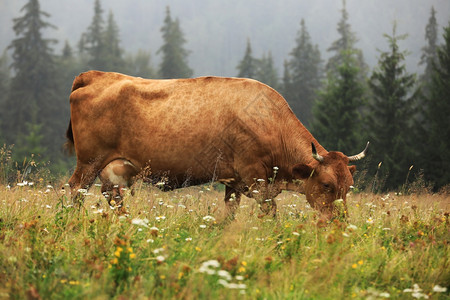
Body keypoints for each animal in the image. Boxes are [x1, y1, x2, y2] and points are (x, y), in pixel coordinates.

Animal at [67, 71, 370, 219]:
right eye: (327, 185)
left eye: (348, 186)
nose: (340, 220)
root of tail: (96, 75)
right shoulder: (256, 178)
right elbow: (270, 213)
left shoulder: (234, 182)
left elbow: (230, 214)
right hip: (89, 161)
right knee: (76, 190)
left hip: (114, 167)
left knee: (111, 195)